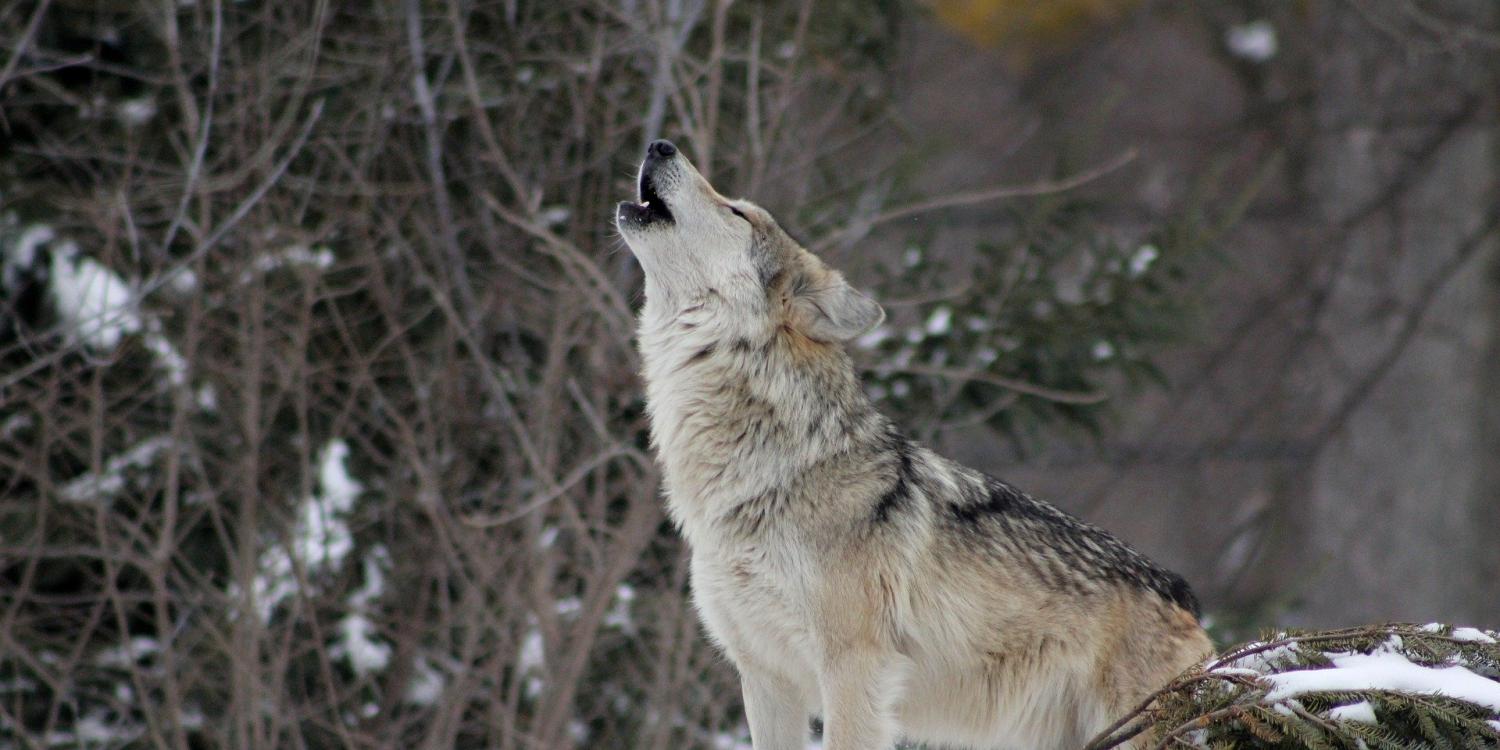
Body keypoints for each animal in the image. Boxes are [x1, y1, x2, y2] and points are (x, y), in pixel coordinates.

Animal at [615, 141, 1212, 750]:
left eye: (738, 212)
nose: (660, 145)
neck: (769, 468)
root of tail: (1185, 598)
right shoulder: (764, 676)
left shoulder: (853, 667)